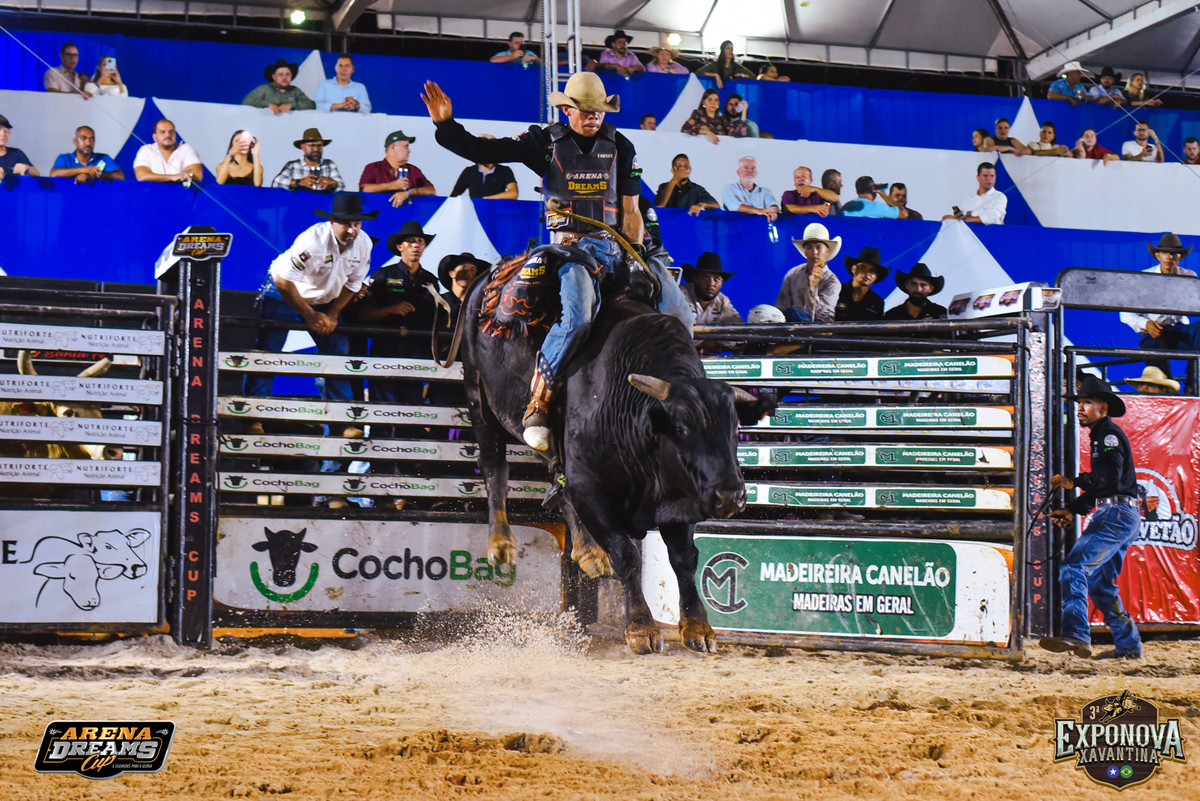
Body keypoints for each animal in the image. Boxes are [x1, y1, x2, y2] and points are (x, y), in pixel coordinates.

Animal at [457, 249, 773, 654]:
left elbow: (684, 558)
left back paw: (588, 552)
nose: (731, 496)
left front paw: (697, 627)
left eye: (735, 430)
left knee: (554, 472)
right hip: (477, 394)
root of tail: (489, 275)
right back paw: (501, 543)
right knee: (494, 464)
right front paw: (641, 628)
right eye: (682, 429)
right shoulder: (592, 489)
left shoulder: (683, 492)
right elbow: (627, 555)